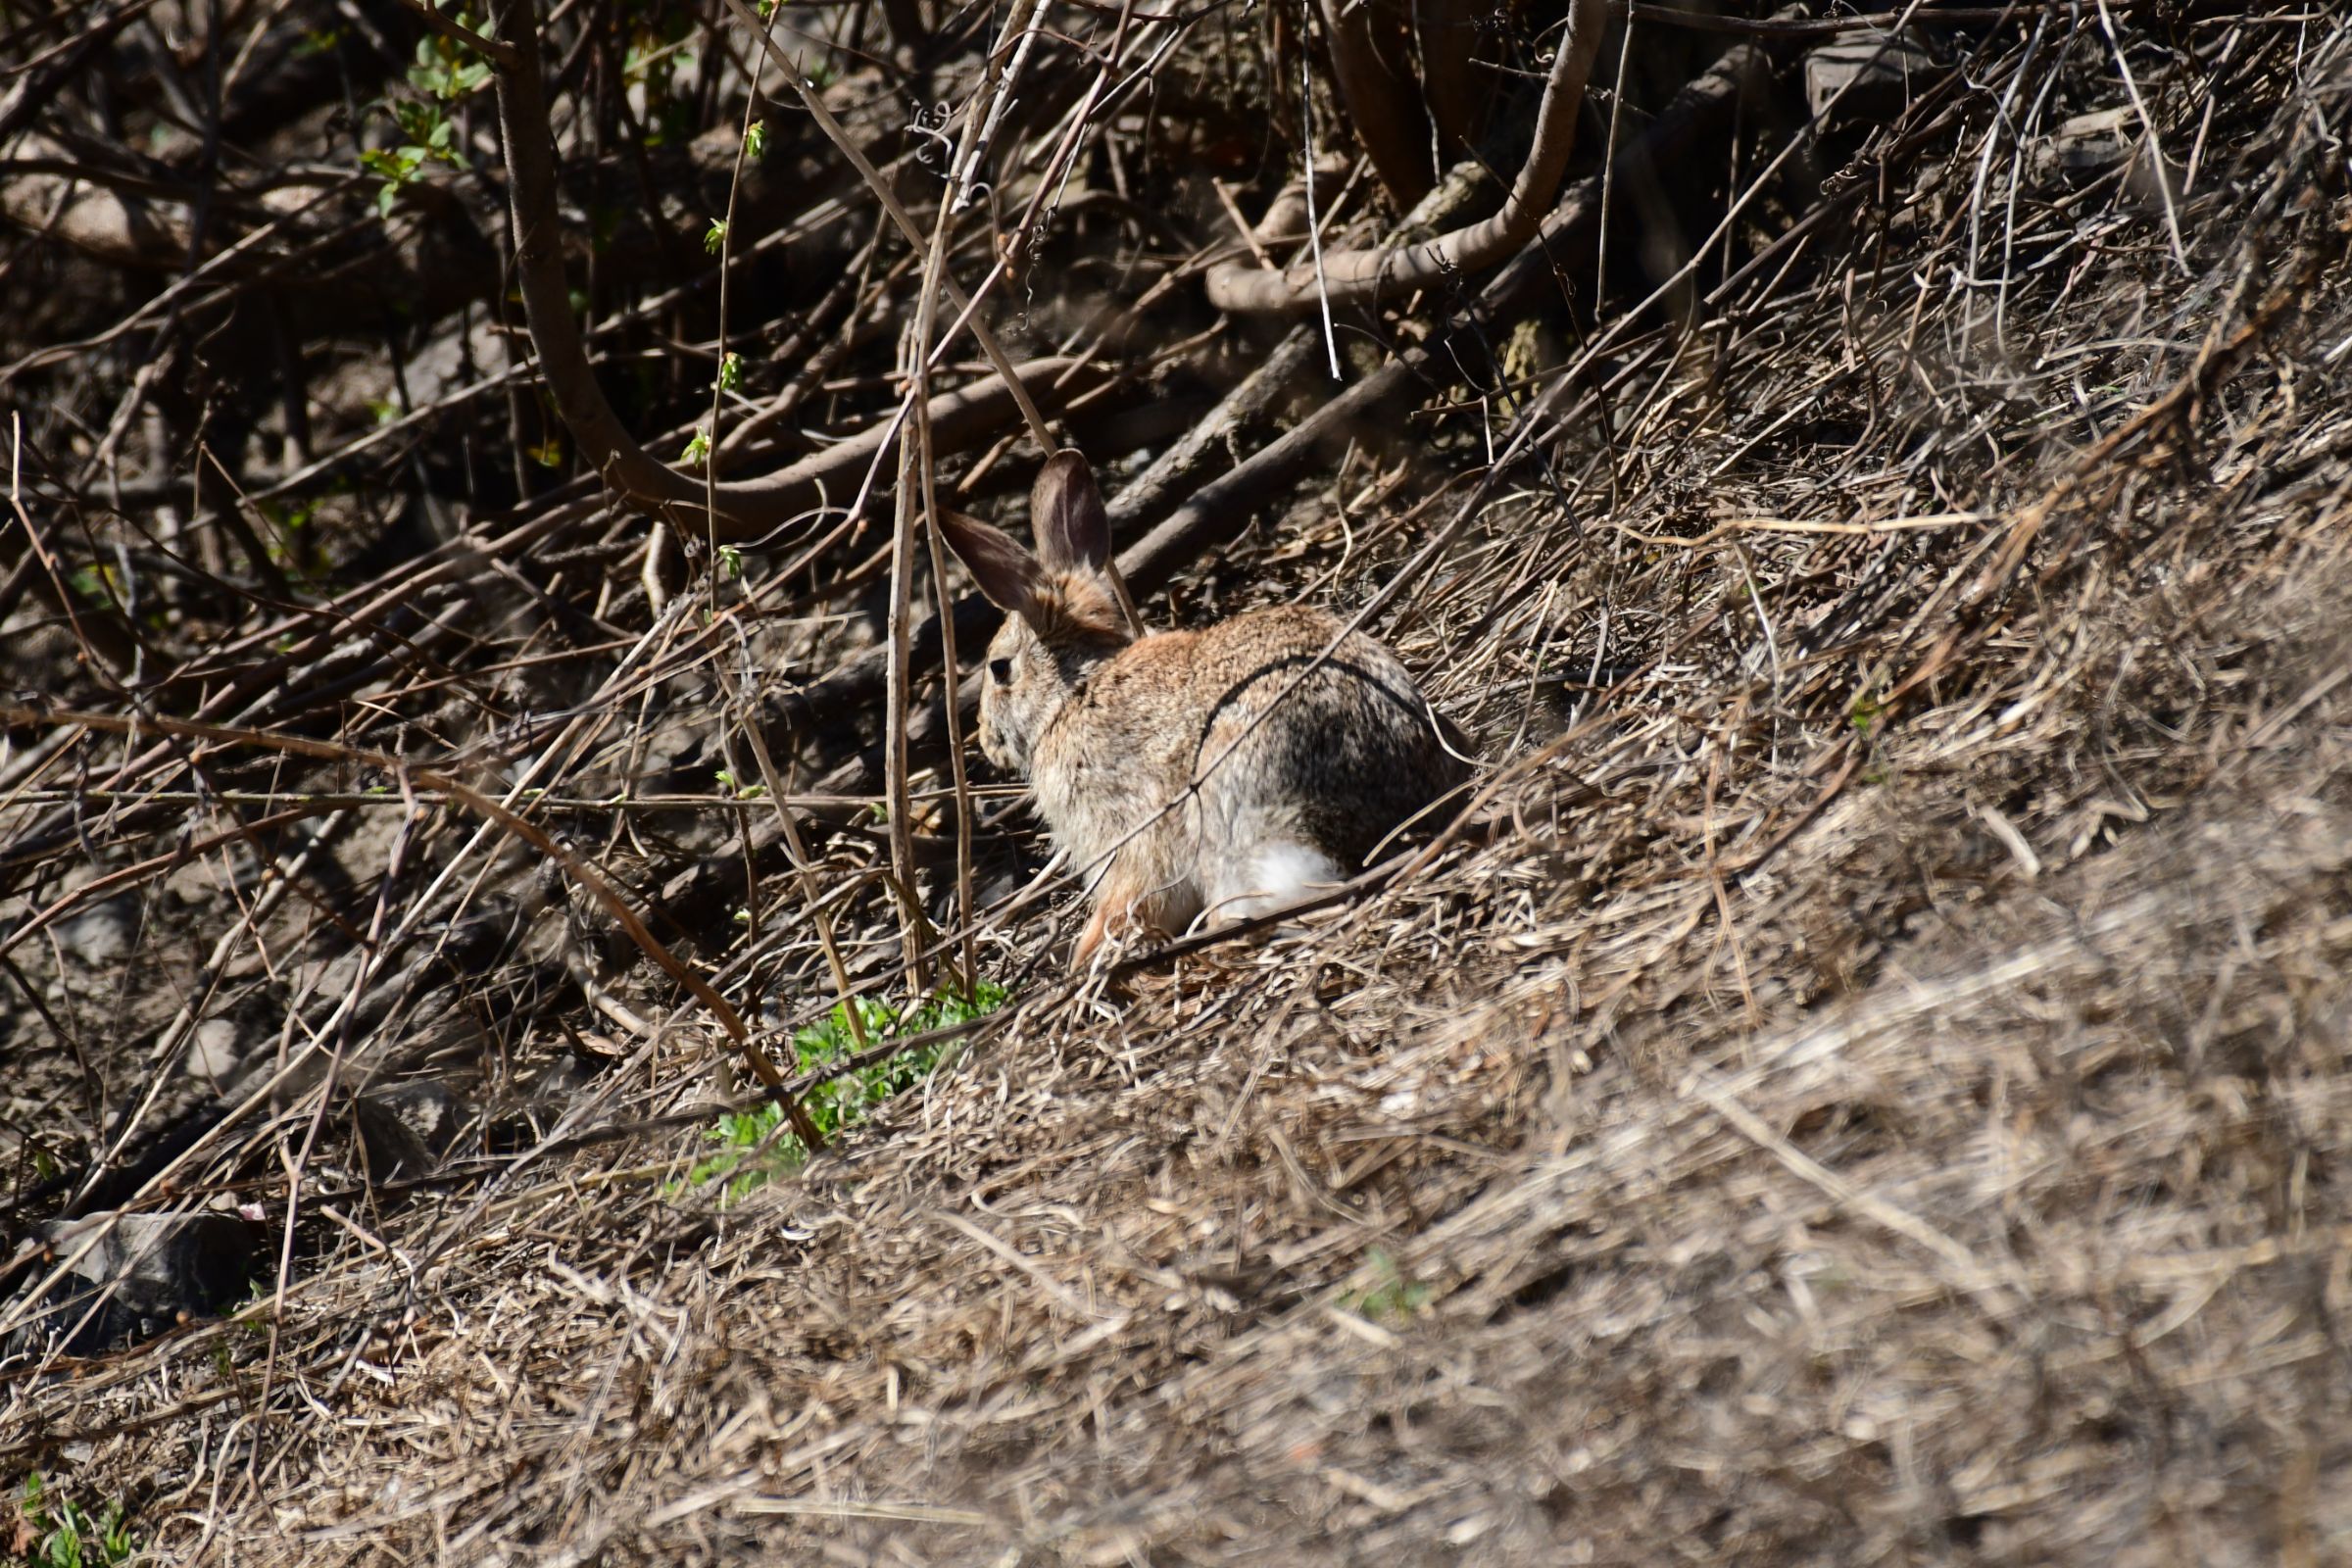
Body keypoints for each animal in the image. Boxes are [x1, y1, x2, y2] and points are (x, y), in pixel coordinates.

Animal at [936, 450, 1468, 964]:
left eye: (999, 668)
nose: (986, 739)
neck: (1073, 693)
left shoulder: (1125, 828)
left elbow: (1133, 897)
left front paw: (1084, 954)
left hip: (1226, 808)